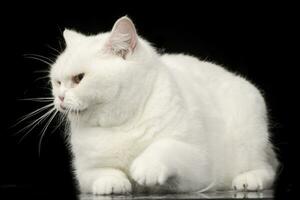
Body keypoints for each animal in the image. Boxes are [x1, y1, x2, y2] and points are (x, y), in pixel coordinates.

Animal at [49, 16, 278, 195]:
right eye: (57, 82)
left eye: (79, 78)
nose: (60, 97)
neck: (121, 125)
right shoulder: (85, 172)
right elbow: (102, 173)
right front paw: (112, 183)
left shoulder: (198, 168)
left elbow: (165, 147)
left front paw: (145, 167)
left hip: (249, 139)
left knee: (267, 170)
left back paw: (248, 180)